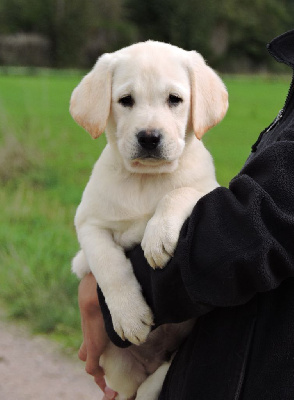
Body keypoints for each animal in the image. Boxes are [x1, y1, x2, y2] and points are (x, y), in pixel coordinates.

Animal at [70, 41, 229, 400]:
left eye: (175, 99)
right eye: (126, 100)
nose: (149, 137)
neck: (145, 179)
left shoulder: (210, 190)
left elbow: (180, 192)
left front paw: (158, 237)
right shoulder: (89, 224)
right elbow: (109, 266)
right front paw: (129, 315)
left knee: (155, 380)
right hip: (121, 367)